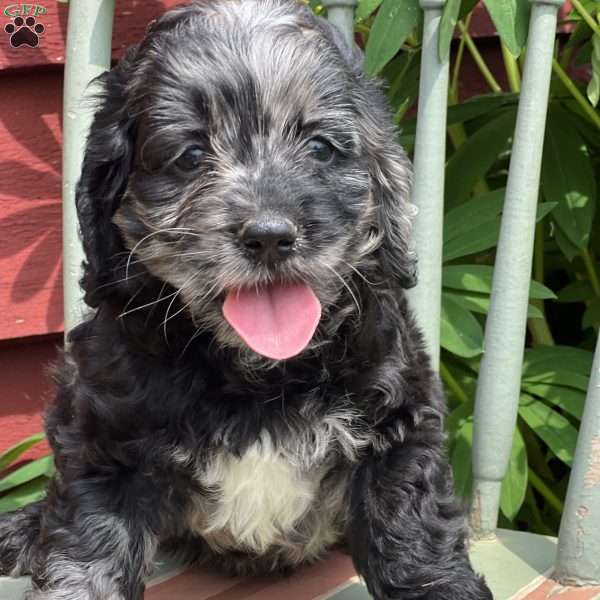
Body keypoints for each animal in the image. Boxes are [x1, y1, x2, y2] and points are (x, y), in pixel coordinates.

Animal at [0, 0, 492, 596]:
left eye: (320, 148)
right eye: (190, 156)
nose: (270, 236)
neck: (259, 374)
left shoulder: (399, 425)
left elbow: (413, 540)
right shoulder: (104, 438)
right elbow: (89, 551)